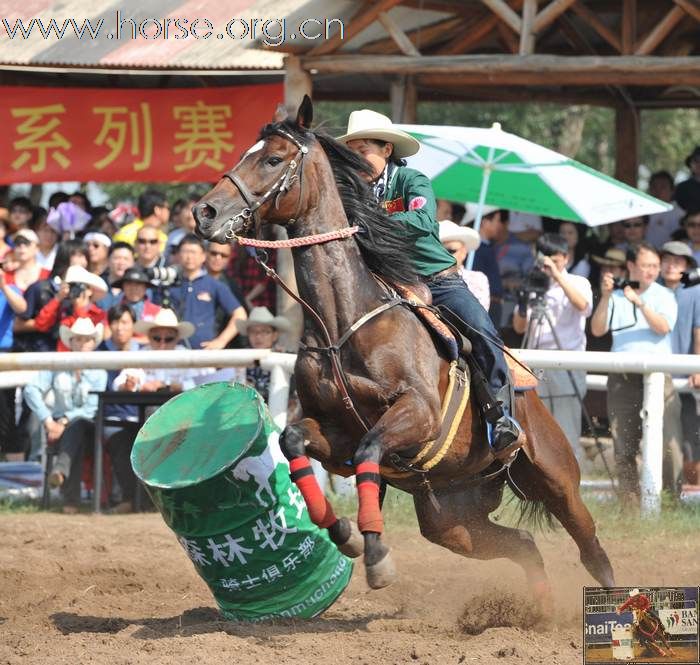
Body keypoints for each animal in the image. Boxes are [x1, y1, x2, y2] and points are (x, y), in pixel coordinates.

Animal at [191, 96, 612, 608]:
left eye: (272, 159)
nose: (205, 212)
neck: (345, 323)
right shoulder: (334, 433)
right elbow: (292, 443)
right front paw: (345, 534)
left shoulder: (416, 412)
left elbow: (372, 450)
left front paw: (374, 553)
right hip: (452, 519)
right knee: (524, 544)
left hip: (556, 479)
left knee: (591, 549)